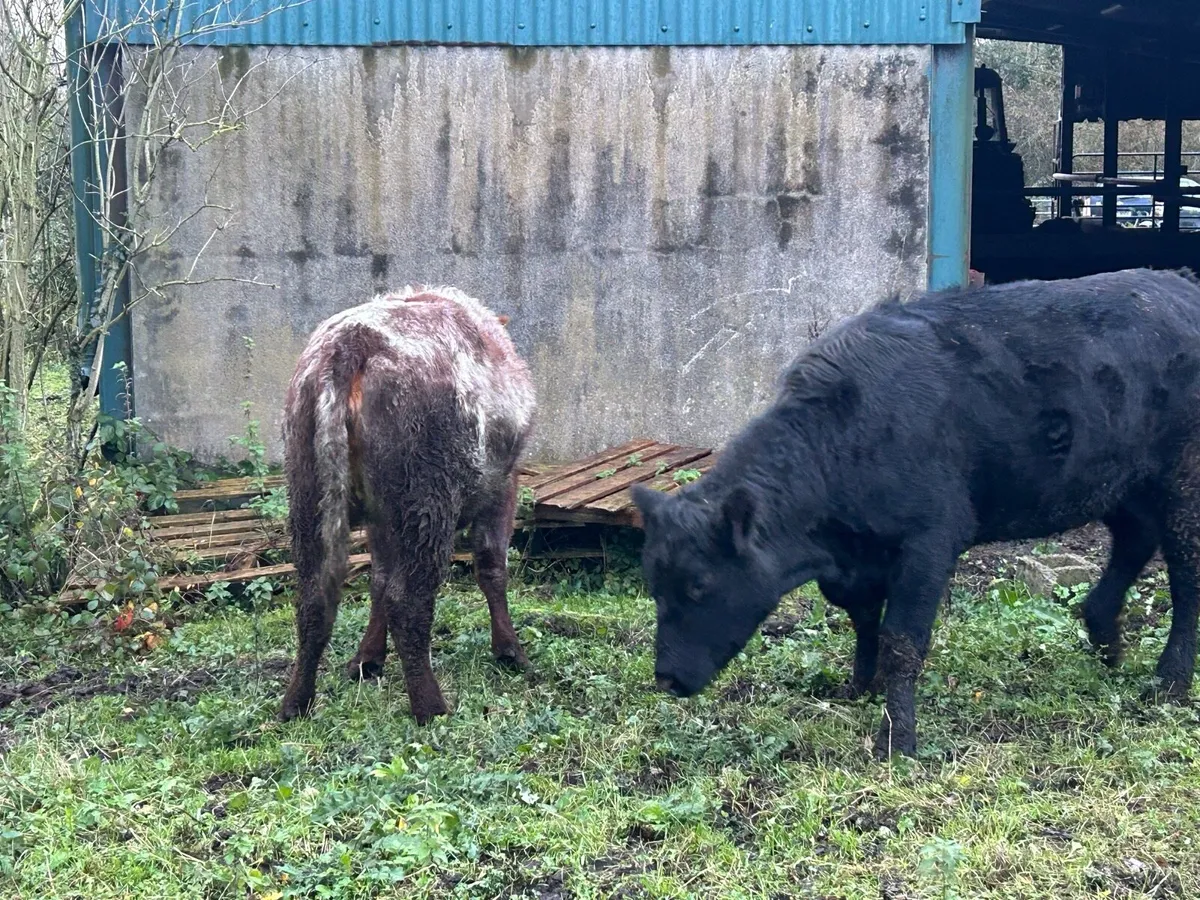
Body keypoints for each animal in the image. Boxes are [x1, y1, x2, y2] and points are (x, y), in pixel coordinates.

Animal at [279, 285, 536, 724]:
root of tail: (350, 341)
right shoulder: (502, 487)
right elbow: (492, 567)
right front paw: (509, 650)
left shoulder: (381, 518)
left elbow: (378, 580)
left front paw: (367, 658)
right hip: (428, 502)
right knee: (409, 601)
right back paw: (430, 706)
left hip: (309, 492)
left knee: (315, 598)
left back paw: (296, 701)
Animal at [632, 268, 1200, 758]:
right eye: (654, 586)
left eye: (700, 585)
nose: (666, 678)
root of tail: (1177, 287)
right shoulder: (858, 562)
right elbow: (863, 621)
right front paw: (860, 686)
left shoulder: (930, 540)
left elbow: (901, 639)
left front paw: (896, 739)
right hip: (1125, 483)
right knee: (1134, 540)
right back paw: (1105, 639)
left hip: (1181, 481)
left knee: (1184, 570)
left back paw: (1169, 683)